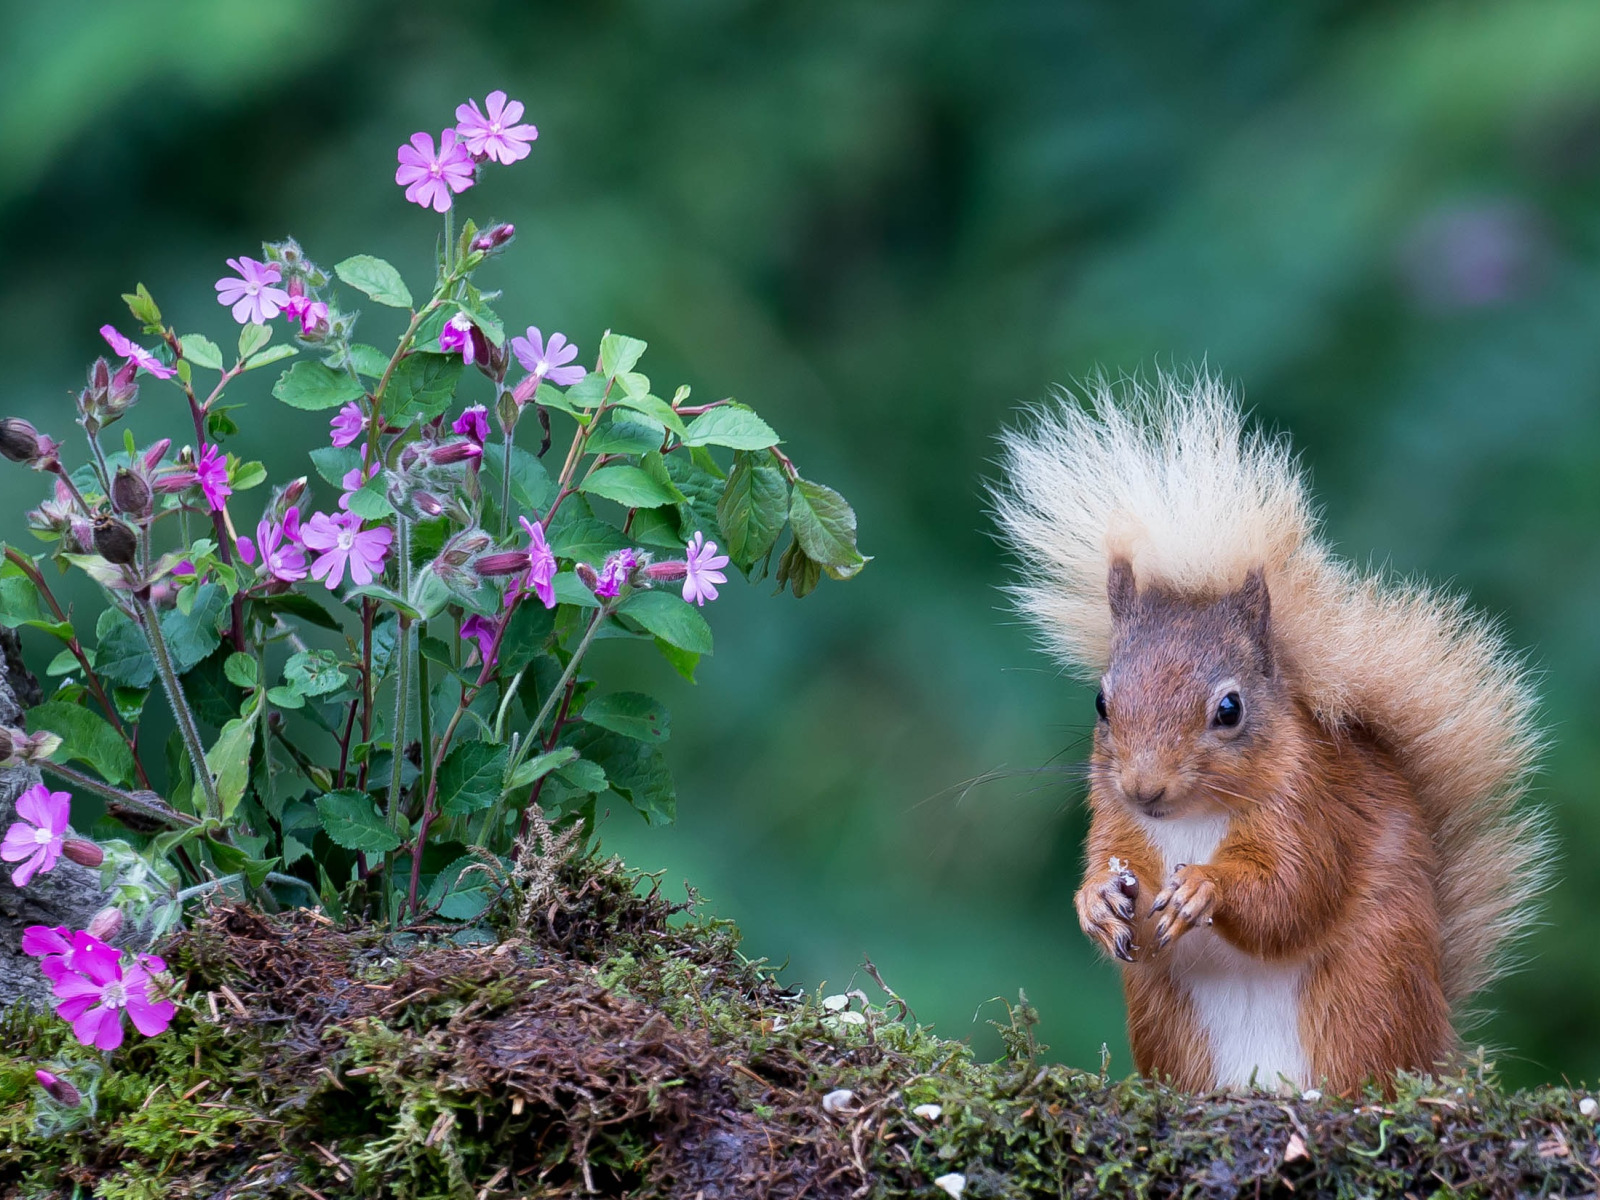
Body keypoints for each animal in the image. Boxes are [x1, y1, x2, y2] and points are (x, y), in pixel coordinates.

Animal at [992, 377, 1542, 1100]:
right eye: (1101, 703)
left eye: (1230, 708)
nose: (1144, 789)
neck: (1193, 820)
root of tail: (1435, 1045)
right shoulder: (1116, 821)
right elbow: (1107, 864)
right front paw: (1095, 901)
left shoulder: (1314, 810)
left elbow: (1292, 893)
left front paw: (1206, 887)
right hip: (1169, 1014)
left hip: (1369, 987)